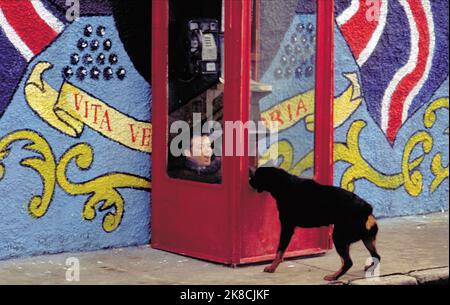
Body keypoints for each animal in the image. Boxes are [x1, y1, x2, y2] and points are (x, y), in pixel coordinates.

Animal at [250, 166, 380, 280]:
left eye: (256, 176)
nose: (249, 180)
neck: (284, 185)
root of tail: (366, 209)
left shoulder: (287, 227)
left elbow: (280, 250)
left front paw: (272, 267)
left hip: (339, 237)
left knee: (348, 262)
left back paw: (333, 277)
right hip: (367, 239)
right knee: (376, 256)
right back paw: (370, 268)